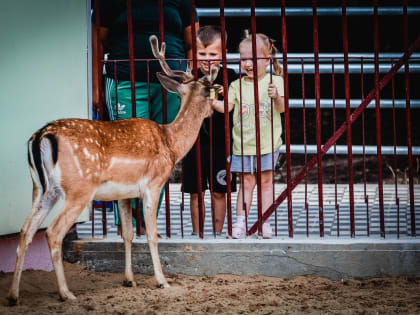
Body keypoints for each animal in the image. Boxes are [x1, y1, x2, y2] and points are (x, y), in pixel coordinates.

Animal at [7, 35, 220, 306]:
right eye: (210, 91)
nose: (215, 107)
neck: (171, 144)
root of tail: (42, 136)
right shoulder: (154, 184)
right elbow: (151, 234)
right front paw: (162, 281)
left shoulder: (123, 195)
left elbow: (127, 234)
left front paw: (129, 280)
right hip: (78, 189)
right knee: (53, 232)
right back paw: (66, 293)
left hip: (40, 188)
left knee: (26, 231)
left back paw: (13, 296)